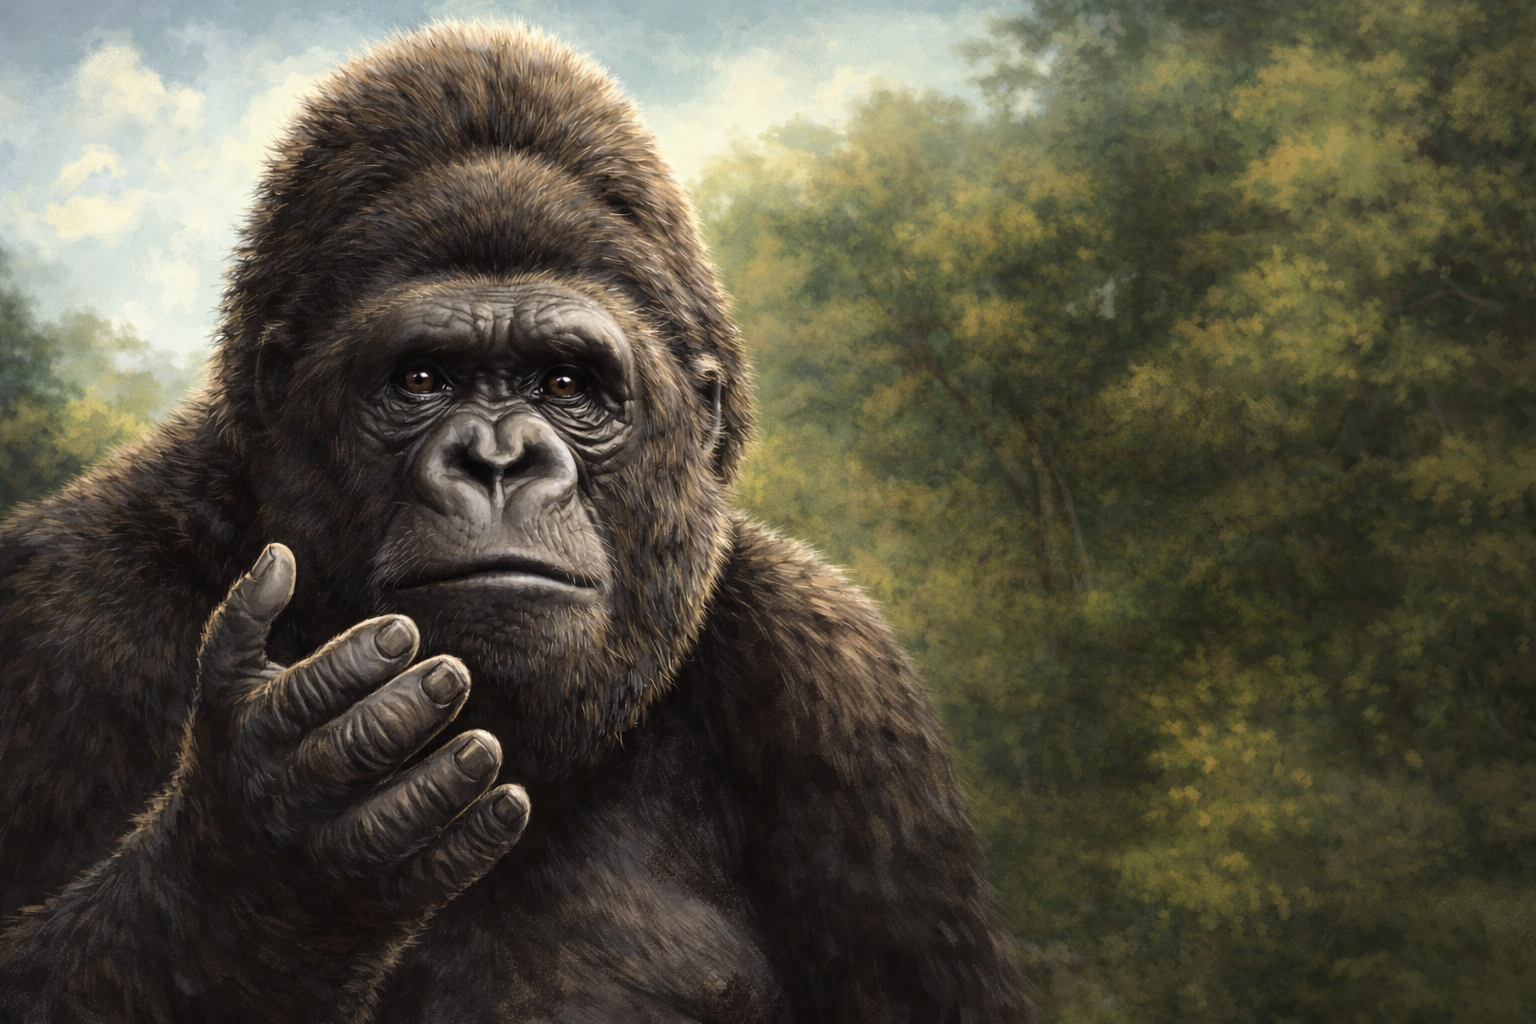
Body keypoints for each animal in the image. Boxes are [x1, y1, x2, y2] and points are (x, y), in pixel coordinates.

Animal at [0, 22, 1033, 1023]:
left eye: (566, 385)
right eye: (422, 378)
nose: (497, 459)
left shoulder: (842, 680)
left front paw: (279, 840)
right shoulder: (64, 606)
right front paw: (262, 850)